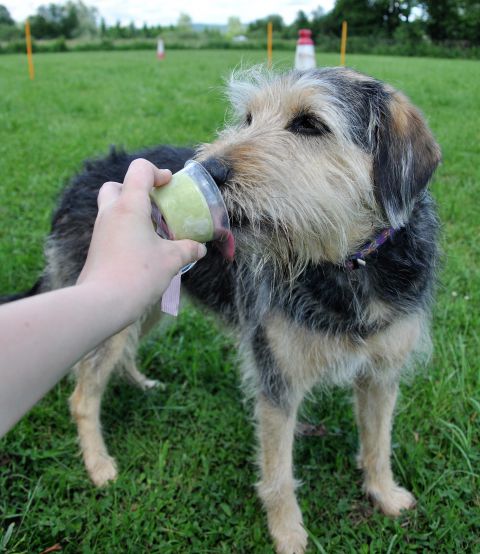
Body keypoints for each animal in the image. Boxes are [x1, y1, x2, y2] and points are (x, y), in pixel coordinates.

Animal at [5, 67, 440, 548]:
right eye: (248, 118)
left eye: (310, 124)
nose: (207, 170)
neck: (348, 268)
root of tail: (82, 176)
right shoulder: (276, 379)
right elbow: (278, 473)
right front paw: (288, 535)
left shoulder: (382, 373)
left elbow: (378, 442)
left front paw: (385, 494)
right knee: (83, 395)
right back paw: (99, 465)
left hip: (144, 297)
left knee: (123, 355)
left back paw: (141, 383)